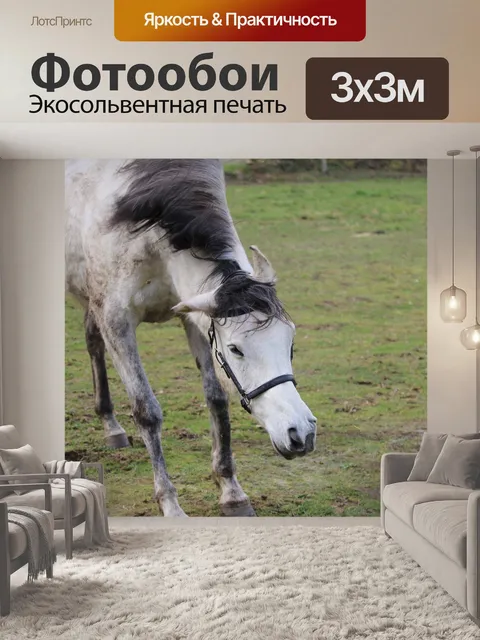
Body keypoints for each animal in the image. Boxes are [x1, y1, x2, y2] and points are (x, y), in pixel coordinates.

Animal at [65, 159, 317, 517]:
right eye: (235, 349)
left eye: (290, 343)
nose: (301, 433)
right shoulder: (116, 320)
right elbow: (147, 410)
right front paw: (170, 505)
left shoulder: (193, 316)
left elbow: (216, 399)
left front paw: (231, 491)